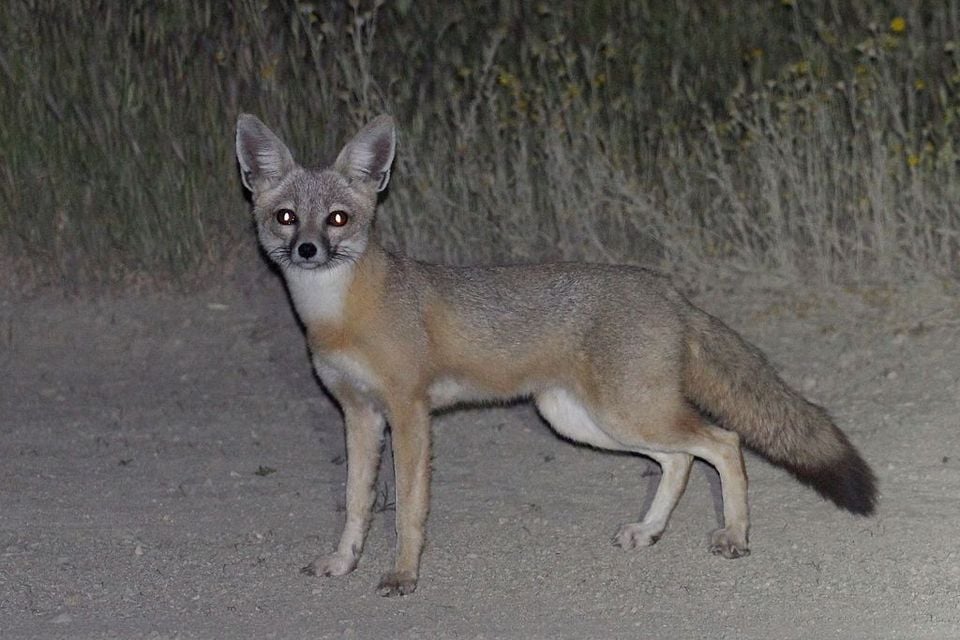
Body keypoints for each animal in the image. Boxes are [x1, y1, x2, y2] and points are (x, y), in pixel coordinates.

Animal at [235, 113, 877, 597]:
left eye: (338, 219)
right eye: (286, 218)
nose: (308, 250)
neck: (339, 316)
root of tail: (668, 289)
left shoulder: (409, 413)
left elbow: (408, 509)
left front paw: (403, 575)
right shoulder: (358, 414)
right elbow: (355, 504)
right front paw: (343, 562)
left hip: (623, 414)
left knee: (725, 442)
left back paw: (736, 536)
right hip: (584, 420)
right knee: (679, 460)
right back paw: (649, 531)